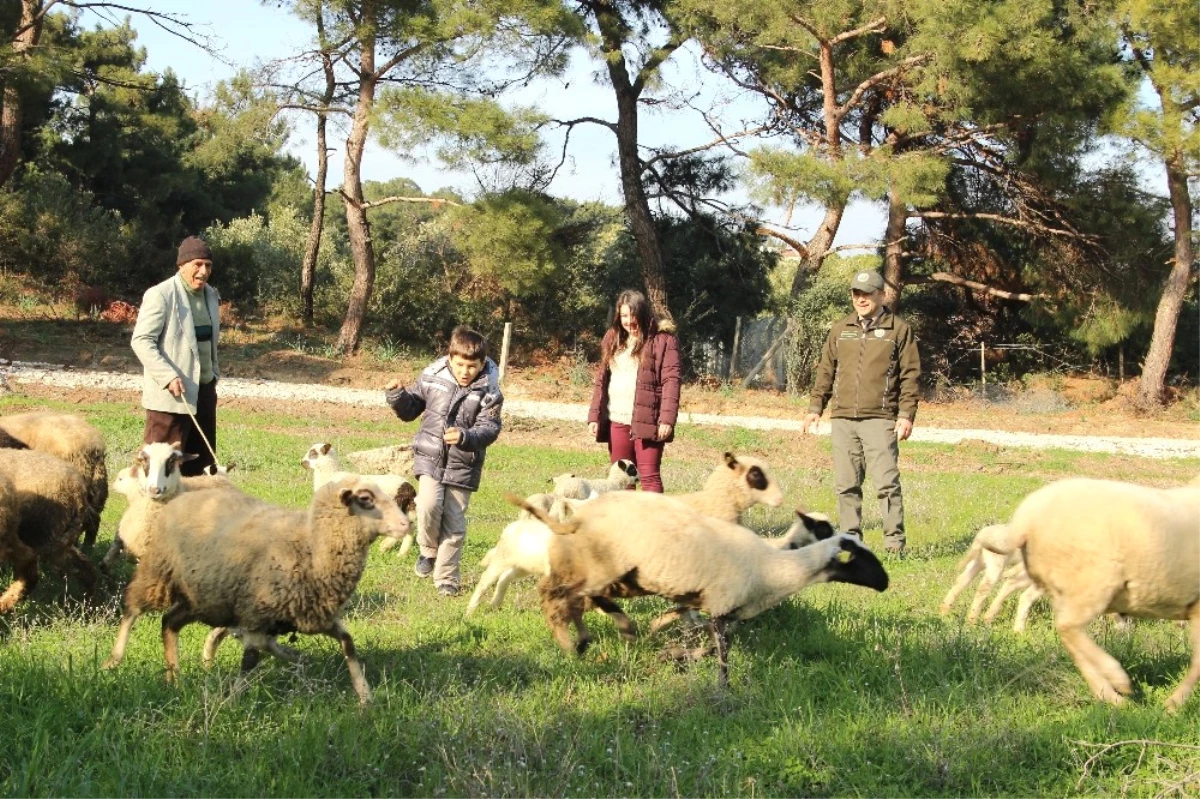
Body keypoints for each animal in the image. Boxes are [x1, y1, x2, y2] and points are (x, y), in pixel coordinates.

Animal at [0, 443, 97, 607]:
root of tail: (78, 492)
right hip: (56, 543)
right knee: (83, 566)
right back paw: (89, 603)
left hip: (37, 535)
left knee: (29, 577)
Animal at [104, 472, 412, 705]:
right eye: (366, 499)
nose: (406, 524)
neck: (310, 546)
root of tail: (183, 497)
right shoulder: (256, 614)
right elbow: (250, 659)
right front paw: (232, 701)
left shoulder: (316, 614)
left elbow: (348, 644)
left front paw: (364, 695)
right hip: (158, 572)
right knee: (132, 609)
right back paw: (114, 660)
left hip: (202, 596)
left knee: (169, 622)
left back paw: (174, 677)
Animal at [511, 491, 888, 686]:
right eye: (860, 558)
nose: (885, 583)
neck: (772, 566)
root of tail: (575, 517)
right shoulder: (721, 607)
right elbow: (721, 652)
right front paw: (722, 688)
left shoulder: (717, 608)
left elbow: (702, 638)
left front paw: (672, 652)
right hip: (598, 567)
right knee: (556, 595)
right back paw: (575, 642)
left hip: (616, 576)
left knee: (579, 598)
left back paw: (612, 632)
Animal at [998, 475, 1200, 705]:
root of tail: (1025, 519)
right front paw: (1175, 703)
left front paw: (1175, 702)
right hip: (1091, 583)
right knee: (1068, 627)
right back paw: (1116, 679)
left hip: (1062, 589)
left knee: (1068, 636)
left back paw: (1108, 694)